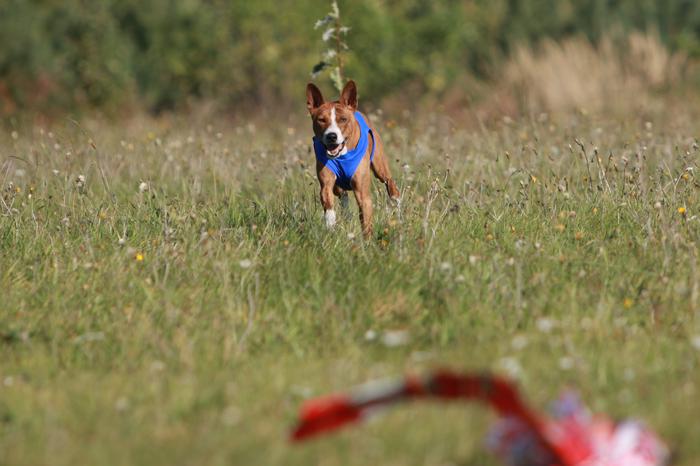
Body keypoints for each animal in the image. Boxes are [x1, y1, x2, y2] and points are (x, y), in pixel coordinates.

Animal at [306, 80, 400, 237]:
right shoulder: (326, 184)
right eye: (321, 120)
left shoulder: (363, 193)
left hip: (380, 168)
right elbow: (329, 206)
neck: (341, 156)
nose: (332, 136)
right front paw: (331, 229)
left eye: (343, 119)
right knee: (343, 196)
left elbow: (366, 221)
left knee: (391, 184)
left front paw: (367, 241)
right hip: (338, 187)